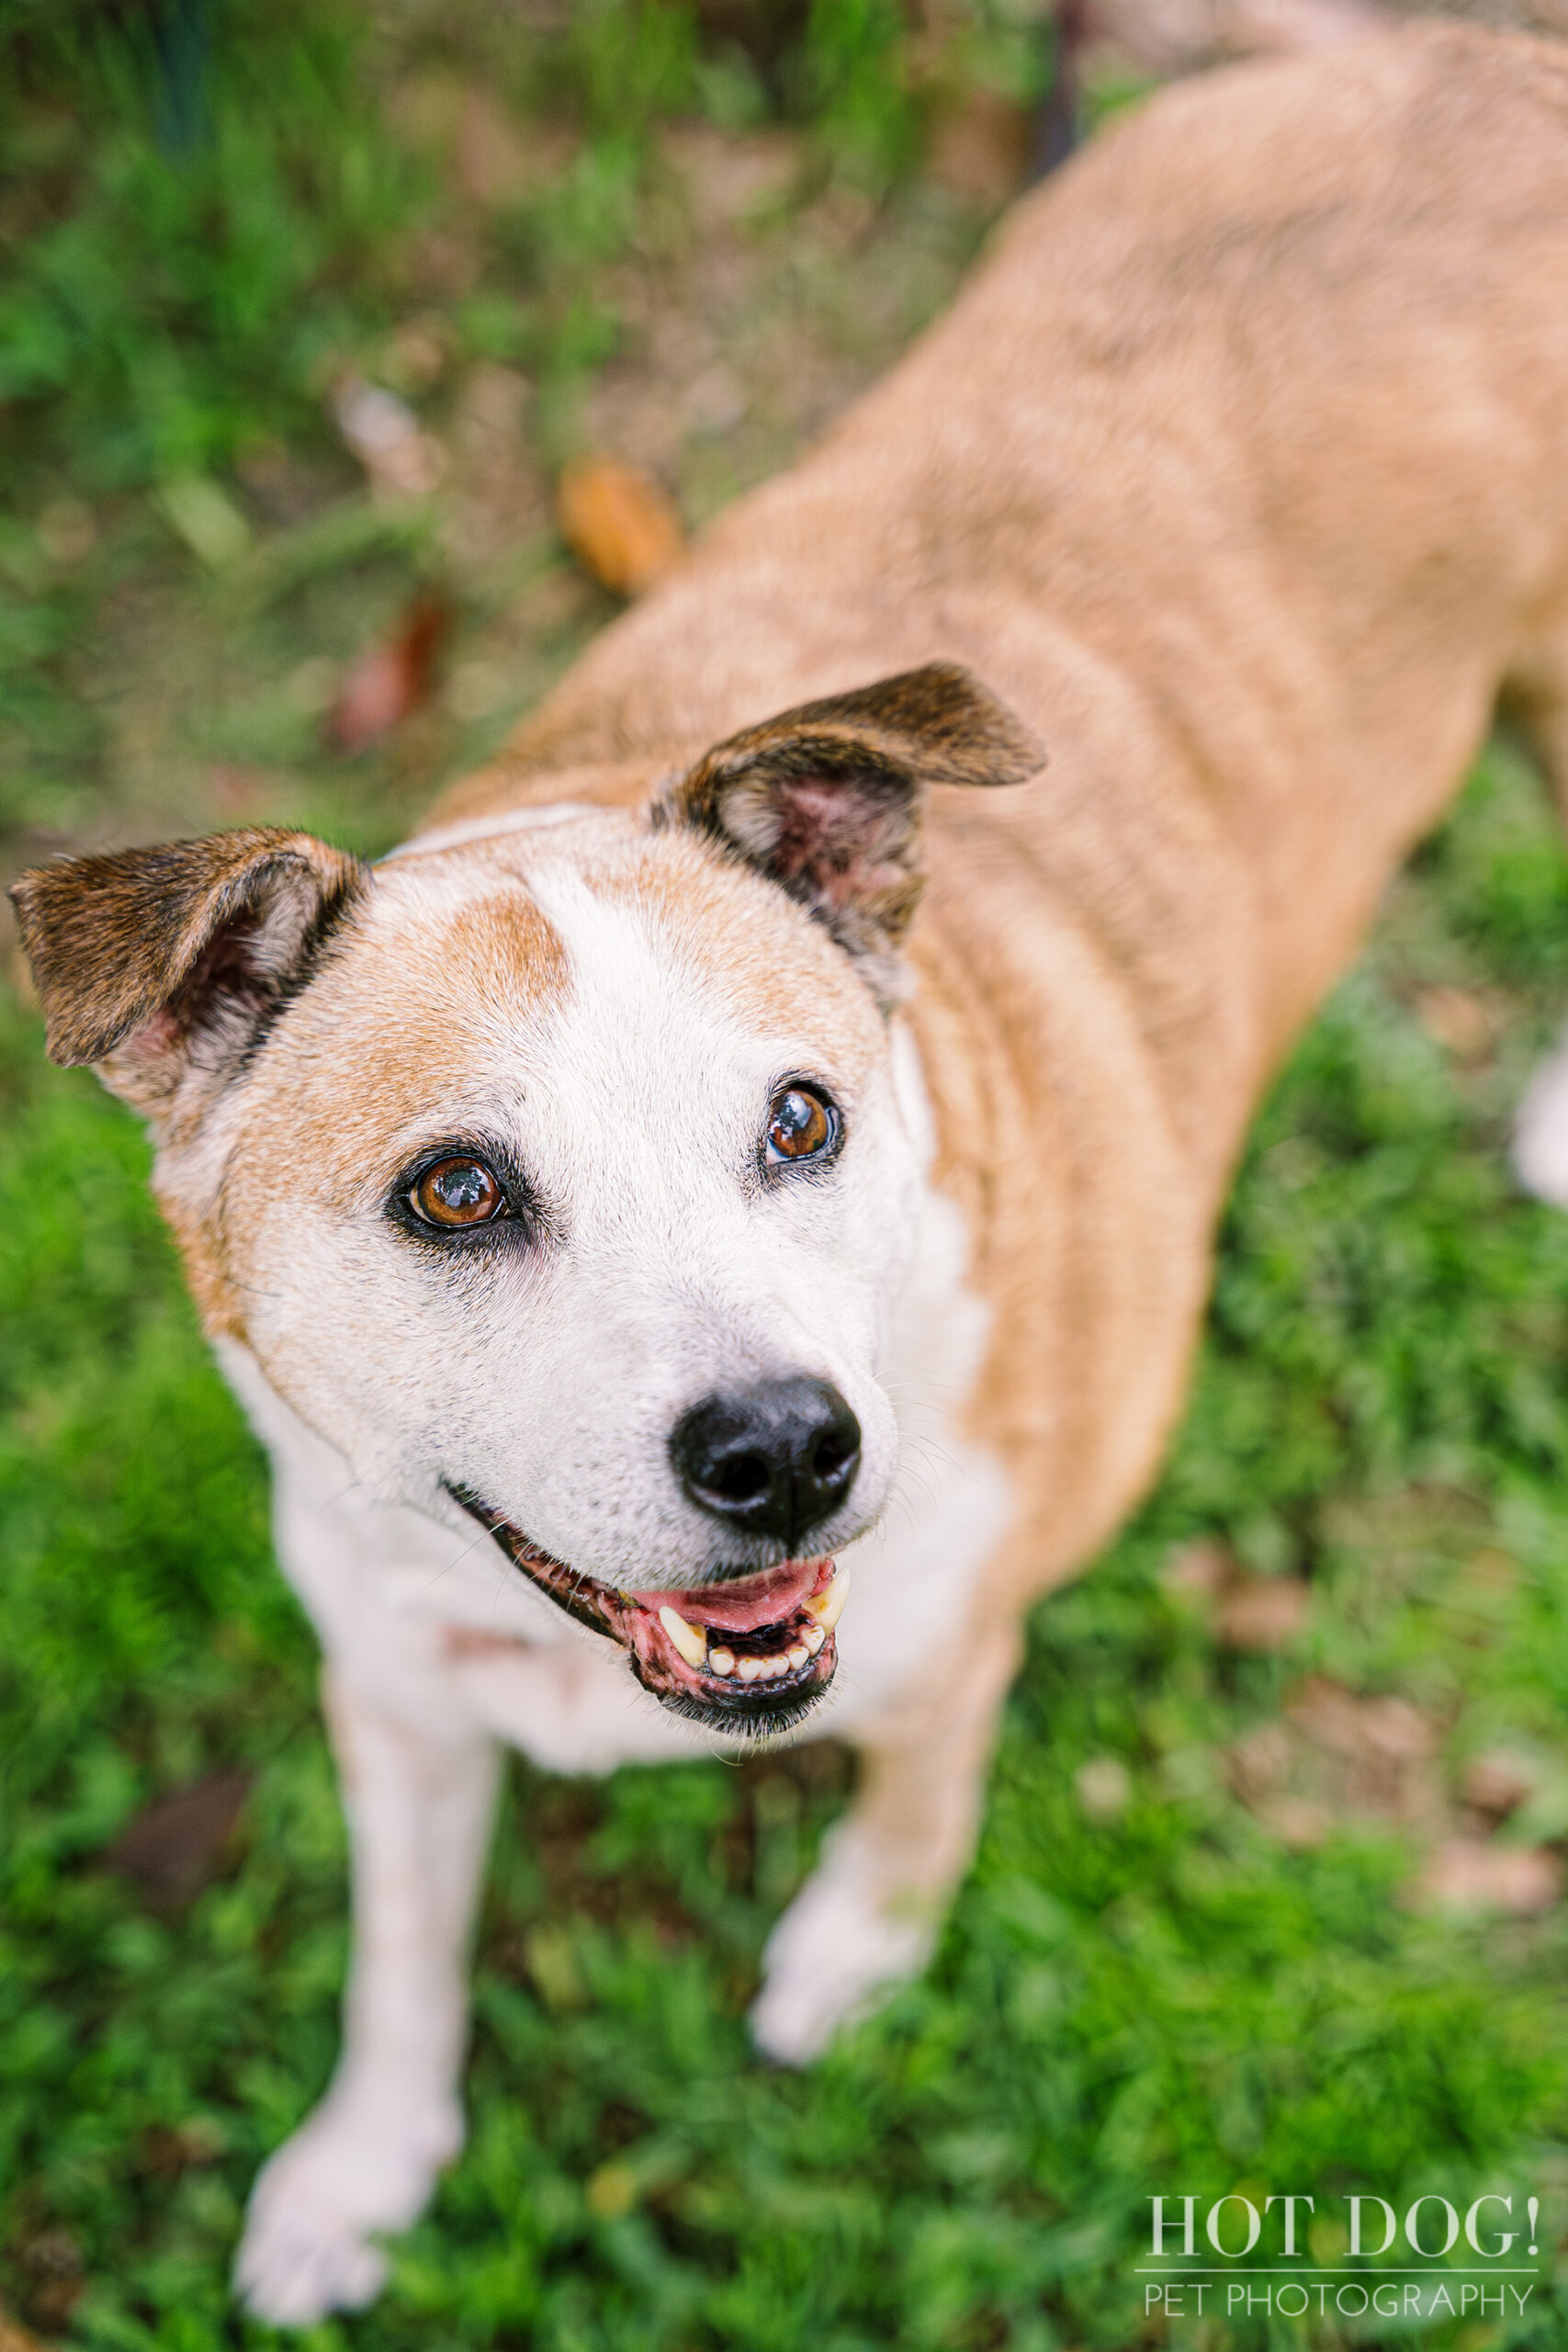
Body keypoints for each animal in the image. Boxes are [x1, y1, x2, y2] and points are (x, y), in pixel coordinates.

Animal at [8, 22, 1568, 2333]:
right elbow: (398, 1961)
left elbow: (913, 1809)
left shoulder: (954, 1642)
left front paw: (850, 1957)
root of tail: (1449, 52)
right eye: (453, 1192)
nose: (783, 1450)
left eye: (801, 1118)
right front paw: (358, 2172)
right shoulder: (391, 1695)